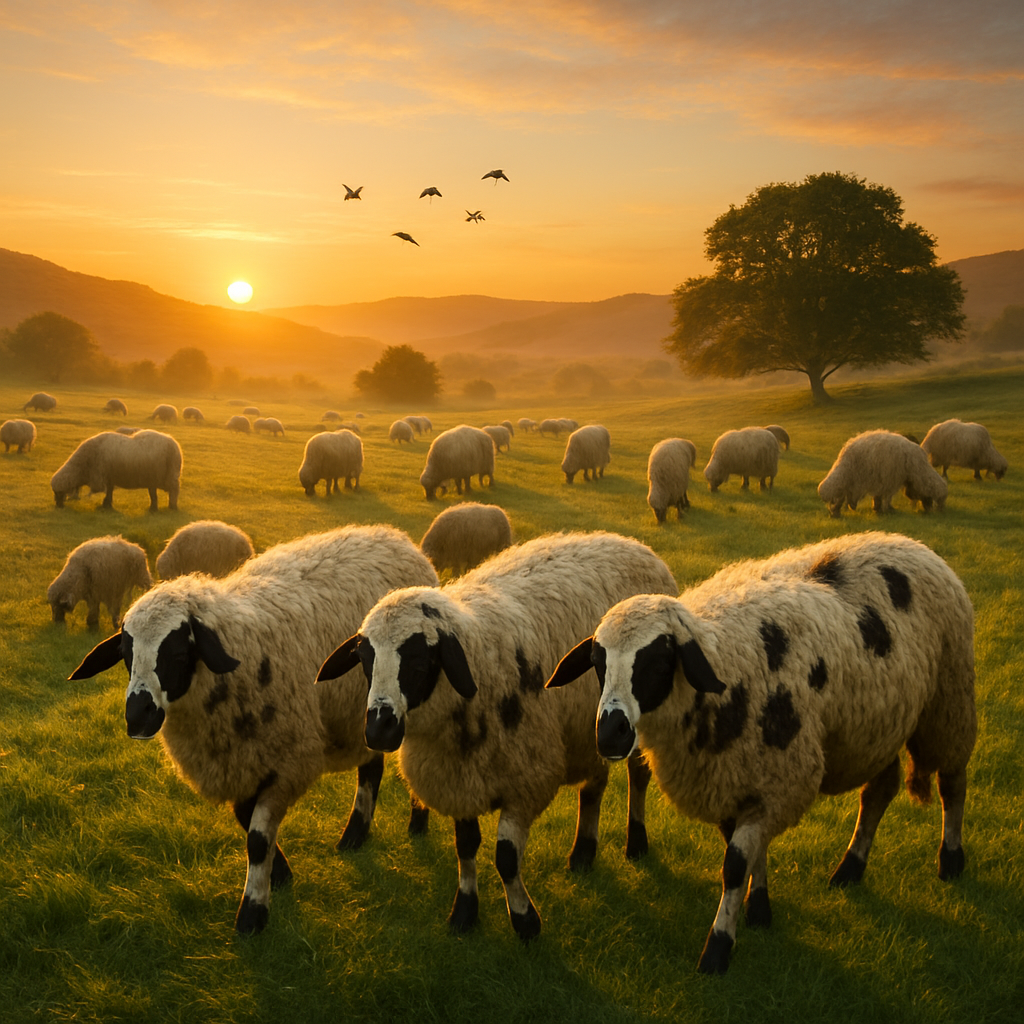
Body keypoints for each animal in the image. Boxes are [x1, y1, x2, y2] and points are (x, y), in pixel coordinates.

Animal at [51, 430, 182, 510]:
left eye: (58, 492)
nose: (58, 506)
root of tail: (174, 444)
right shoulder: (110, 478)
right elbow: (109, 491)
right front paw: (107, 505)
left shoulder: (102, 475)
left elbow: (108, 491)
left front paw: (106, 505)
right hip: (154, 478)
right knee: (154, 494)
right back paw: (154, 508)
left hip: (167, 475)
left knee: (173, 491)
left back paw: (171, 507)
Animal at [69, 525, 440, 933]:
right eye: (126, 653)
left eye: (178, 653)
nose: (137, 717)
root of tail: (394, 536)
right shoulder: (241, 762)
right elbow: (246, 821)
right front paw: (280, 875)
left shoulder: (289, 761)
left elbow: (258, 838)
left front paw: (253, 911)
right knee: (371, 766)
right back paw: (355, 834)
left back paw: (417, 821)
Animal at [317, 531, 679, 941]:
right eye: (364, 658)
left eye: (420, 659)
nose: (379, 729)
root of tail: (632, 543)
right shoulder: (460, 782)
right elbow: (465, 847)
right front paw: (464, 912)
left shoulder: (527, 780)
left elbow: (506, 859)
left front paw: (525, 921)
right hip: (590, 728)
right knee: (595, 784)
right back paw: (583, 852)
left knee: (638, 776)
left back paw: (636, 842)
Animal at [546, 531, 976, 974]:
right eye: (597, 662)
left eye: (660, 660)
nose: (610, 735)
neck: (723, 664)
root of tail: (907, 541)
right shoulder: (738, 779)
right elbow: (748, 853)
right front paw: (759, 908)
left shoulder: (778, 778)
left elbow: (735, 864)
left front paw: (719, 946)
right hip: (879, 724)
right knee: (879, 791)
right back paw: (851, 867)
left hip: (948, 699)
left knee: (952, 783)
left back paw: (951, 859)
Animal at [818, 430, 948, 517]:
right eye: (938, 500)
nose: (931, 511)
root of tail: (845, 453)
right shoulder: (891, 479)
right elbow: (887, 497)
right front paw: (887, 509)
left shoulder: (884, 479)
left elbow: (879, 496)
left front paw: (878, 509)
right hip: (851, 476)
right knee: (840, 495)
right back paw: (836, 512)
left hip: (850, 477)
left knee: (841, 495)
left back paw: (836, 512)